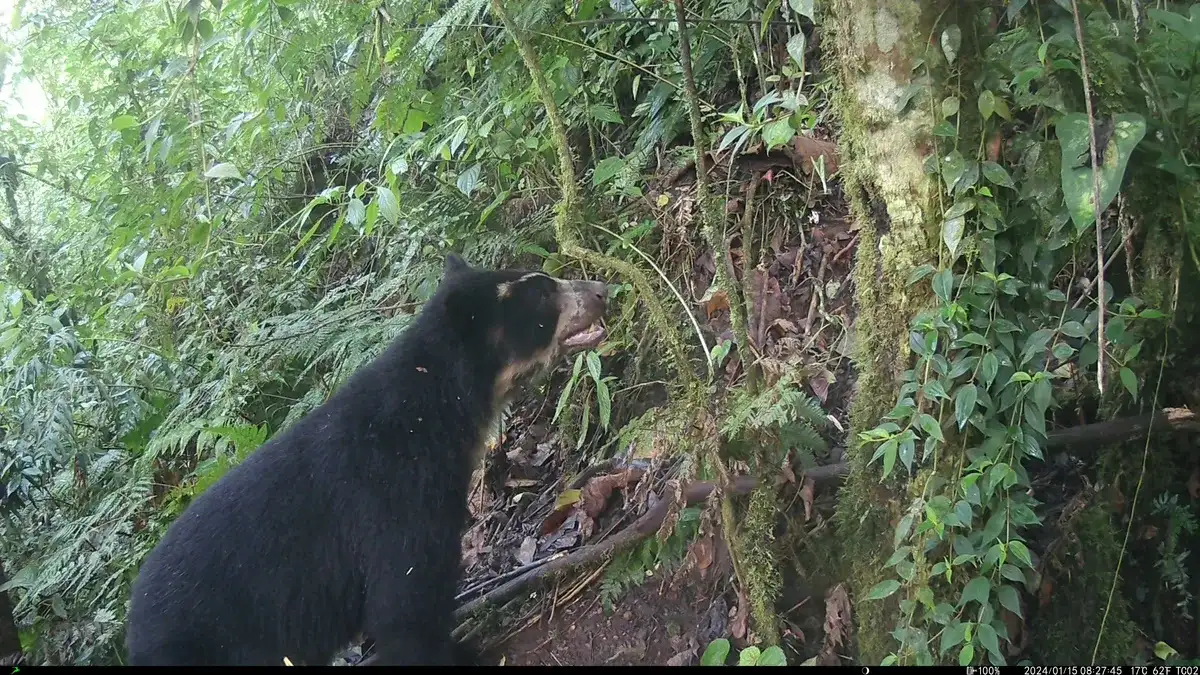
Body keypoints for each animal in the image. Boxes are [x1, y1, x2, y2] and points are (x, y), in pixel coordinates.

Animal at [126, 254, 609, 662]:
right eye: (542, 292)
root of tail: (134, 631)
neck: (433, 412)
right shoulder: (390, 494)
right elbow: (403, 601)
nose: (602, 288)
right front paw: (459, 654)